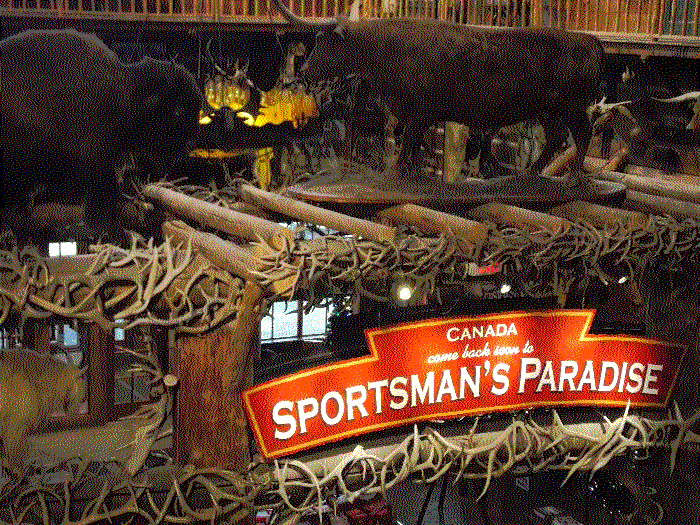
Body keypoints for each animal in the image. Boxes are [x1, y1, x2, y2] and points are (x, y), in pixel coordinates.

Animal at [270, 0, 604, 187]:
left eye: (320, 40)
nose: (305, 71)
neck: (387, 50)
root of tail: (591, 40)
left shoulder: (419, 111)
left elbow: (408, 142)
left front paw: (394, 174)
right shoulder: (414, 113)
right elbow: (414, 145)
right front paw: (413, 173)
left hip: (573, 105)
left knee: (582, 134)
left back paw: (574, 177)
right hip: (550, 109)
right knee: (556, 136)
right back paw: (532, 172)